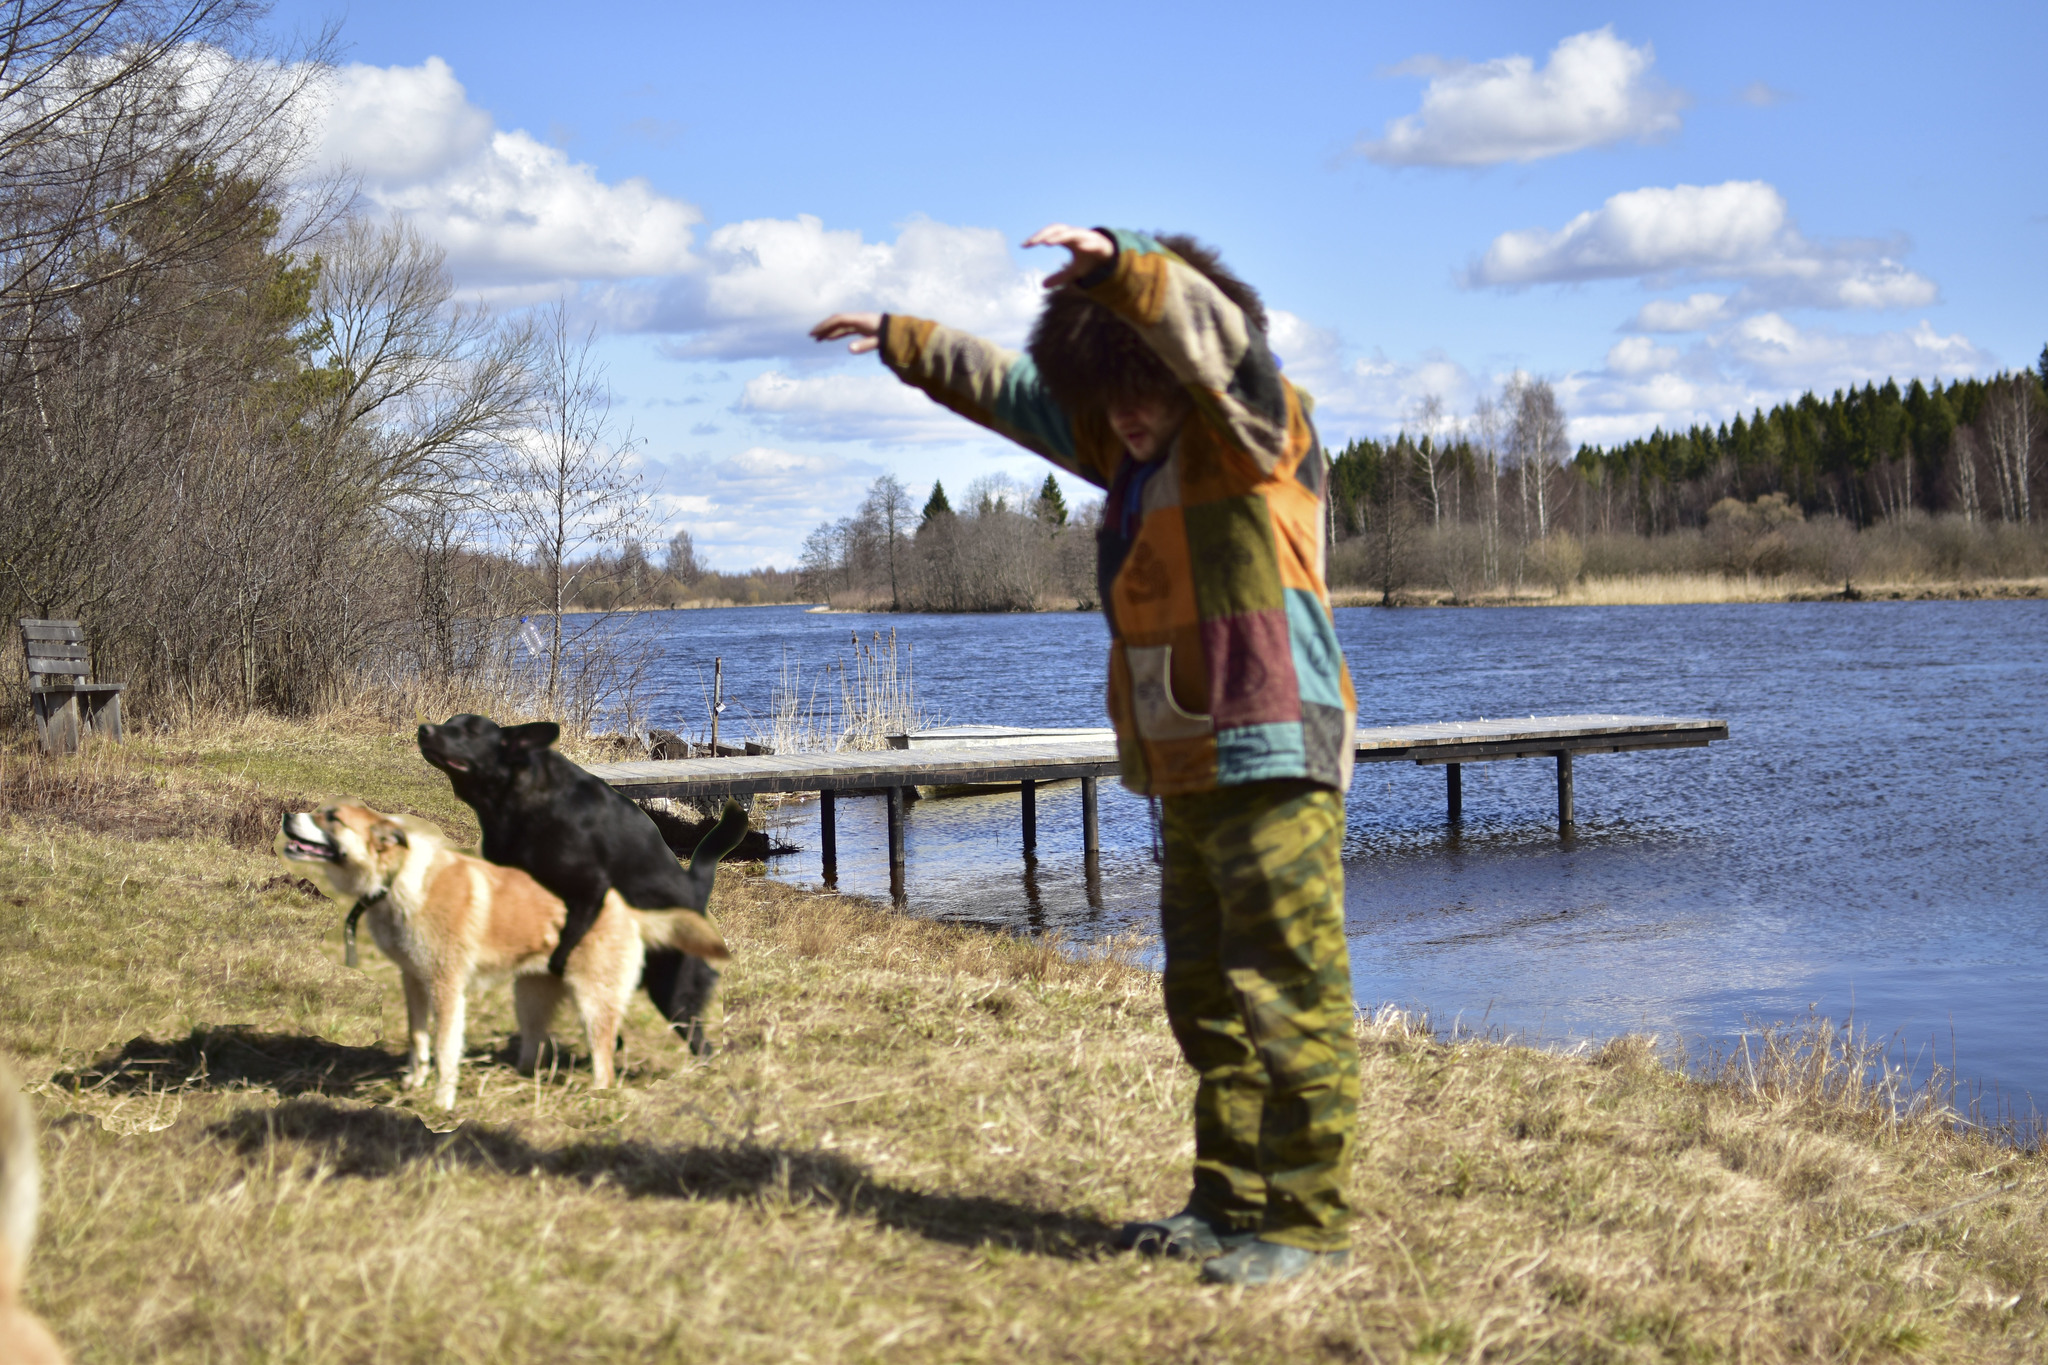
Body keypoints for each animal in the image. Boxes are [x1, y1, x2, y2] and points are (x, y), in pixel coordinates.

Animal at [276, 802, 733, 1113]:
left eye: (332, 818)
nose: (286, 816)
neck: (400, 877)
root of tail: (627, 911)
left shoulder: (446, 988)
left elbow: (444, 1048)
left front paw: (441, 1101)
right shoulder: (413, 981)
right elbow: (417, 1037)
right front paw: (413, 1081)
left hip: (594, 1005)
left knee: (604, 1062)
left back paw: (595, 1096)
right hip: (528, 997)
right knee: (534, 1045)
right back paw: (518, 1077)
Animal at [411, 716, 749, 1055]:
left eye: (471, 731)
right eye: (449, 723)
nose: (424, 730)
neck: (519, 797)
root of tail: (696, 896)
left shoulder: (589, 891)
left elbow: (559, 959)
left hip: (673, 990)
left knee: (700, 1041)